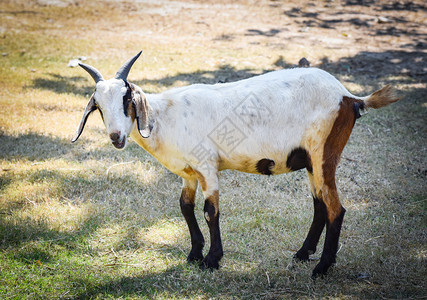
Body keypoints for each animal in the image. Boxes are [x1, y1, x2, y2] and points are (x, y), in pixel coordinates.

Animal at [72, 50, 402, 278]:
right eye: (98, 106)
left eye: (127, 99)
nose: (116, 137)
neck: (166, 116)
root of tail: (349, 96)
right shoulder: (188, 173)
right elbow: (185, 207)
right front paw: (194, 254)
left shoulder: (207, 167)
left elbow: (210, 211)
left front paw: (212, 260)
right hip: (311, 160)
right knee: (320, 204)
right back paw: (302, 253)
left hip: (324, 153)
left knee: (336, 208)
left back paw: (321, 268)